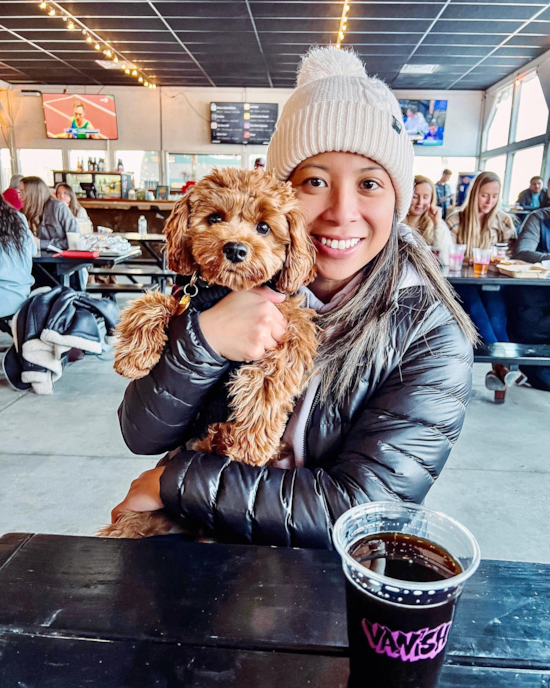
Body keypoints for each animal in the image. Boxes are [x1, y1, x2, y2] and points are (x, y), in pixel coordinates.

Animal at [99, 167, 320, 536]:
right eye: (215, 218)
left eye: (264, 227)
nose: (235, 248)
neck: (225, 291)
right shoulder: (186, 299)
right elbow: (154, 301)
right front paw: (133, 354)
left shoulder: (293, 326)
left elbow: (268, 381)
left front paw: (250, 444)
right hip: (139, 518)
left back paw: (225, 438)